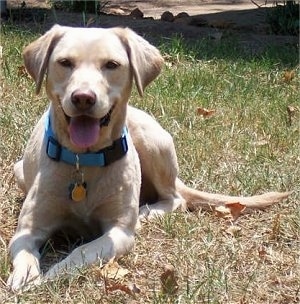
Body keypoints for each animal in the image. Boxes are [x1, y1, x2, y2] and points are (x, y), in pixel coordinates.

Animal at [8, 26, 290, 292]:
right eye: (65, 62)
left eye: (111, 64)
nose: (83, 98)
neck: (84, 161)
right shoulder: (27, 230)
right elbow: (24, 252)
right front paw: (24, 277)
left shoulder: (119, 232)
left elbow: (83, 250)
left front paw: (57, 272)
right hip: (18, 171)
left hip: (152, 141)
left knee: (175, 199)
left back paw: (147, 212)